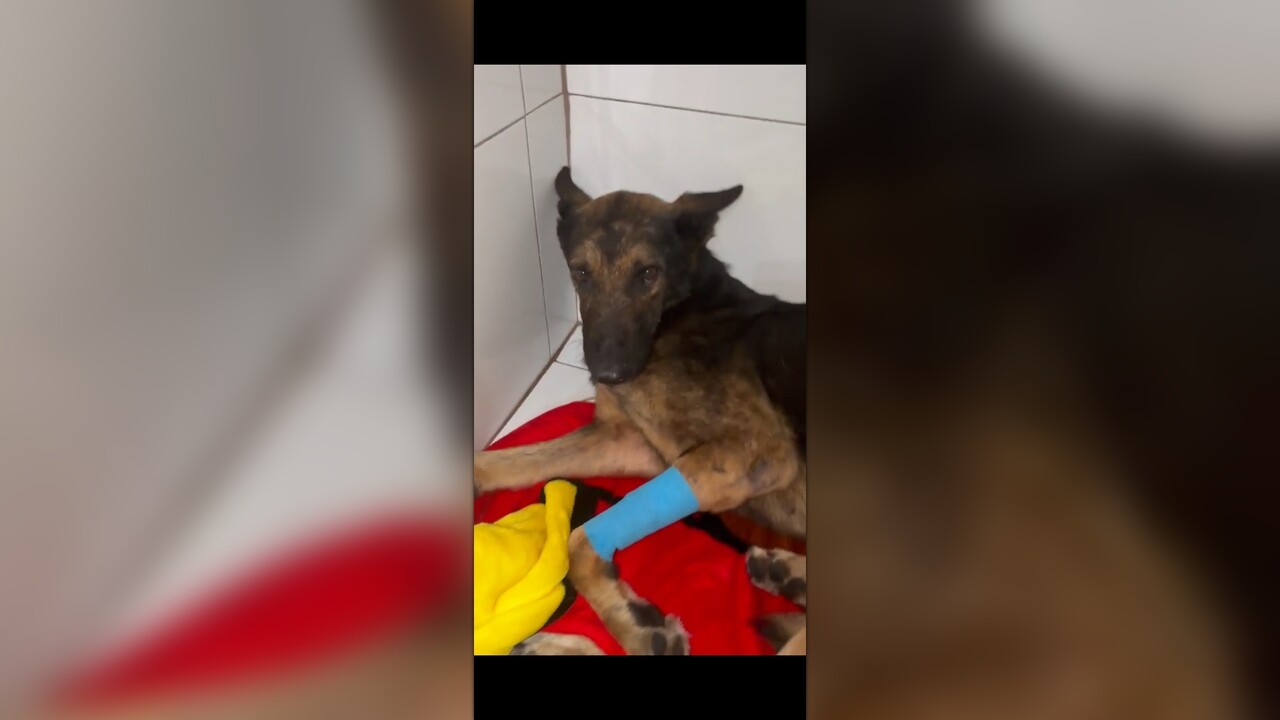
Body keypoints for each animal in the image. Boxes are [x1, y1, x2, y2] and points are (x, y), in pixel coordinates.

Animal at [474, 167, 807, 655]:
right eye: (581, 272)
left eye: (648, 274)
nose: (608, 373)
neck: (678, 312)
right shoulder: (632, 442)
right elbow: (500, 463)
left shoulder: (749, 454)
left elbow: (579, 541)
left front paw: (633, 625)